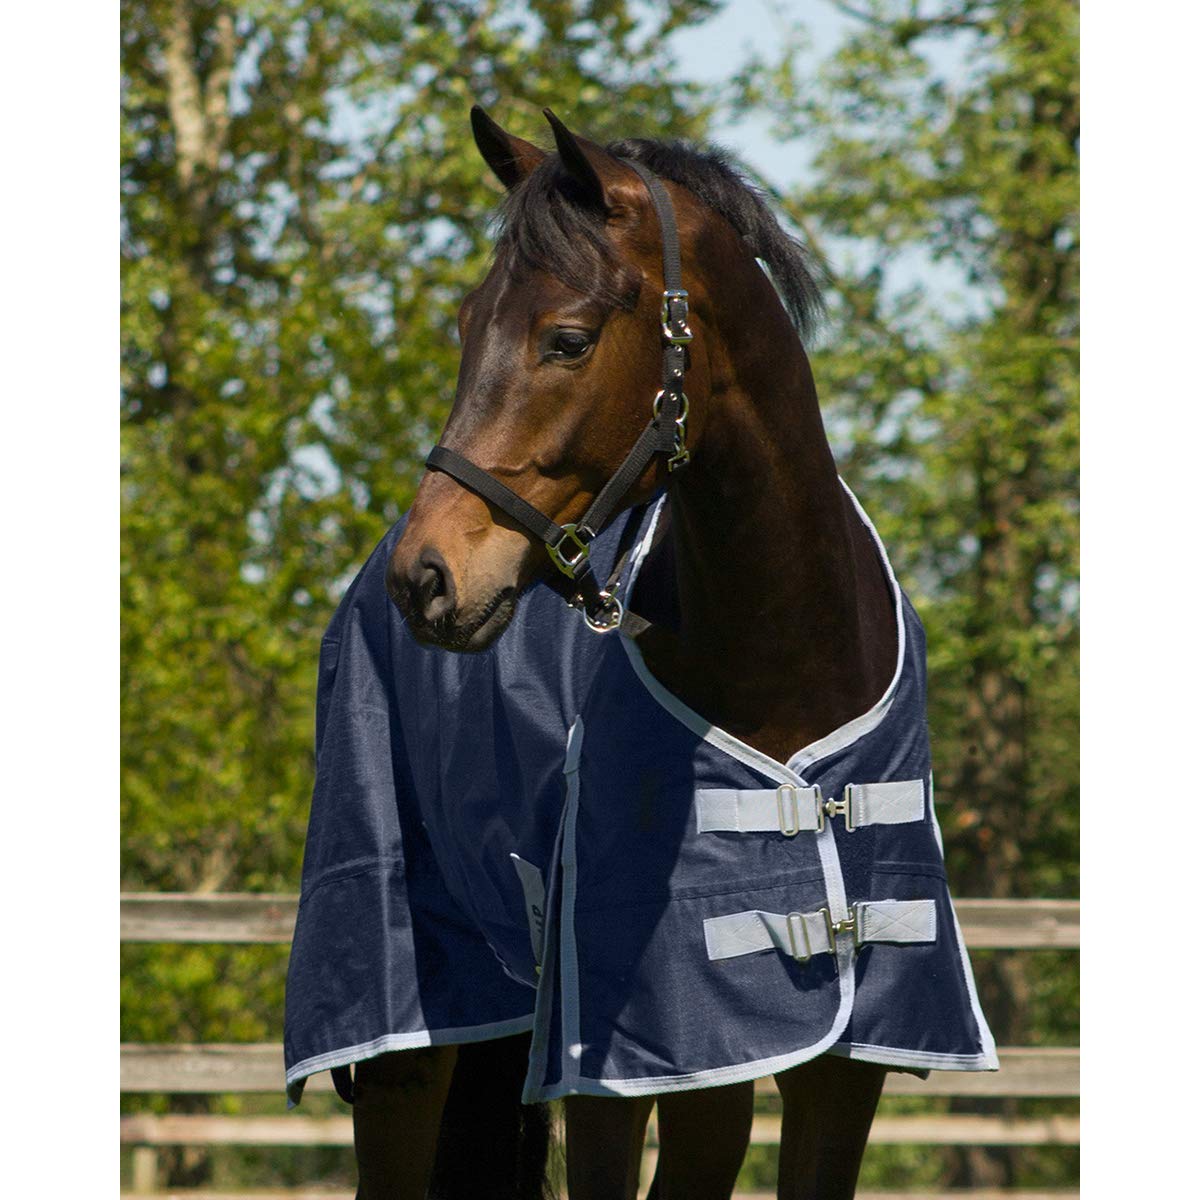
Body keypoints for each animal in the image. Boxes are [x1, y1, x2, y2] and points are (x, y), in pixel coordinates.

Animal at [284, 105, 996, 1200]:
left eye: (567, 339)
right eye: (465, 325)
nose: (428, 578)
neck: (786, 653)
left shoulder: (835, 1067)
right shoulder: (606, 1074)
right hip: (412, 1042)